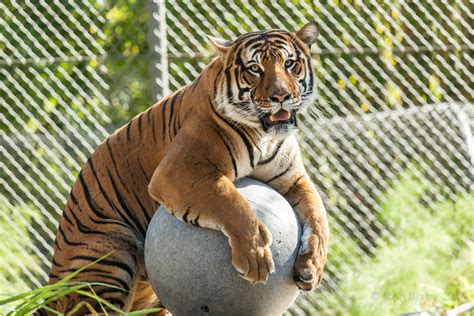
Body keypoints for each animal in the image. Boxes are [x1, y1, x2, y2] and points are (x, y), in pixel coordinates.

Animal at [39, 21, 330, 314]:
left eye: (290, 64)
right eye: (254, 69)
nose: (281, 96)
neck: (265, 136)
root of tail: (52, 283)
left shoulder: (293, 179)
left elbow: (318, 215)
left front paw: (312, 267)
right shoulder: (180, 171)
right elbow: (230, 201)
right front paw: (255, 256)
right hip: (111, 251)